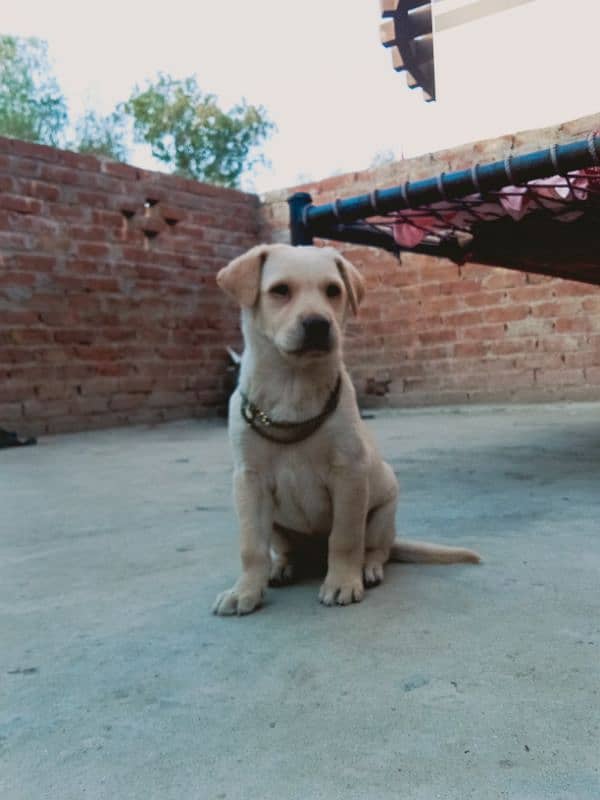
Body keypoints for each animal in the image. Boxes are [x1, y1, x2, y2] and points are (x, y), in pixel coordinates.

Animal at [213, 241, 480, 616]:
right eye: (280, 290)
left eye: (333, 291)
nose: (317, 324)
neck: (293, 384)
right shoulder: (249, 481)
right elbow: (251, 546)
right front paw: (245, 590)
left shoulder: (349, 475)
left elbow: (345, 538)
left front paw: (342, 582)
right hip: (278, 524)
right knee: (286, 550)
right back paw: (283, 567)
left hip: (384, 513)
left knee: (376, 549)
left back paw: (367, 569)